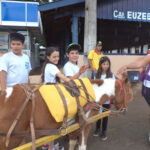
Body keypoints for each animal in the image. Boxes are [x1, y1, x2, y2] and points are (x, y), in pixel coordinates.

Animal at [0, 77, 132, 149]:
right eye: (127, 91)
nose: (125, 109)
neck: (92, 93)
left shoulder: (73, 125)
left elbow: (72, 143)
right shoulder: (85, 125)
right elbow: (82, 146)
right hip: (10, 139)